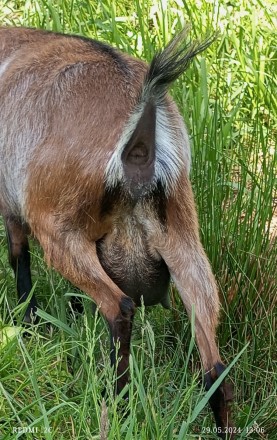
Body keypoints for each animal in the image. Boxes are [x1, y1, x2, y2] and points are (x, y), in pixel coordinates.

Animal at [0, 26, 233, 436]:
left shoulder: (10, 201)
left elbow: (18, 255)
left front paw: (27, 325)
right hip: (182, 234)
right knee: (215, 364)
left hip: (60, 229)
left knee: (120, 307)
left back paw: (116, 403)